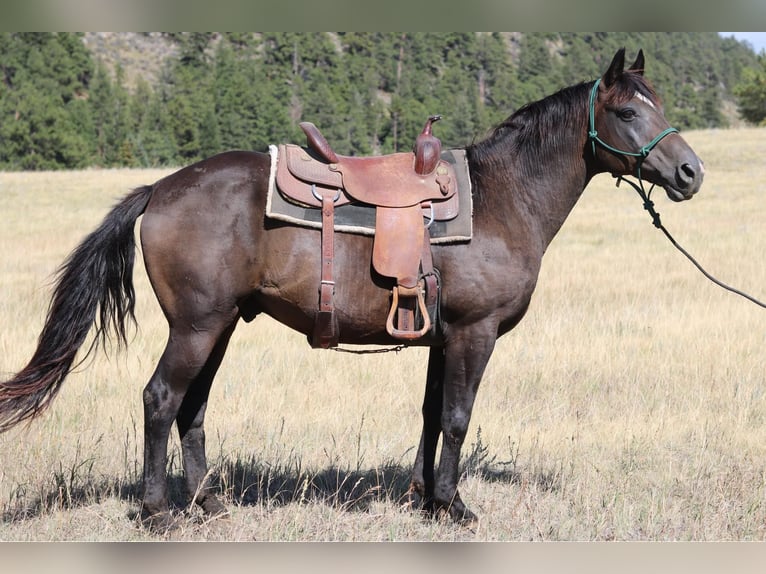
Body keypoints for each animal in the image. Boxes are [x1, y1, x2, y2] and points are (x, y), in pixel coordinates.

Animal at [0, 48, 703, 531]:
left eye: (661, 106)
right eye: (627, 110)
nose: (690, 173)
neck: (504, 198)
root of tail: (161, 188)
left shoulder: (441, 336)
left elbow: (431, 415)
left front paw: (425, 500)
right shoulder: (473, 333)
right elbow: (458, 416)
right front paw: (454, 505)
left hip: (218, 325)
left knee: (191, 407)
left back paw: (208, 501)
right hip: (196, 327)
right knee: (159, 400)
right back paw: (158, 512)